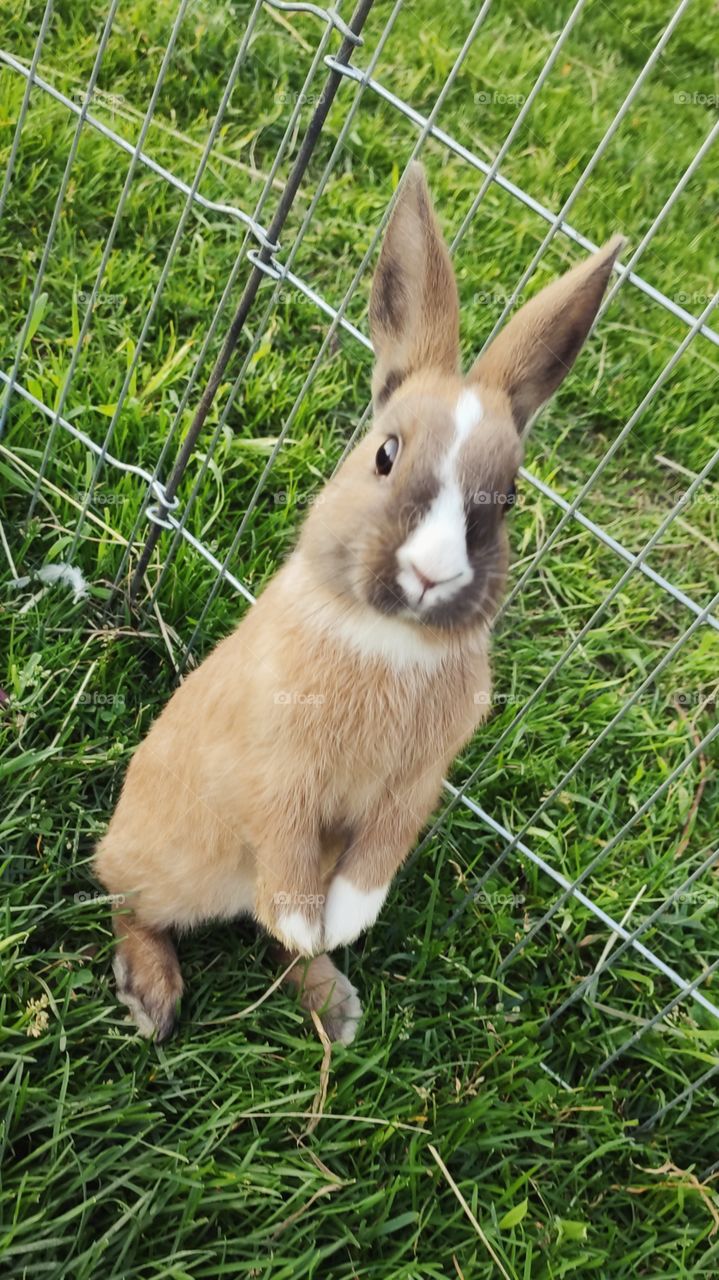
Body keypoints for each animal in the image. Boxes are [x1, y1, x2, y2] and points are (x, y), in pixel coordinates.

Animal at [94, 162, 624, 1045]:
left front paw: (341, 926)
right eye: (384, 454)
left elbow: (374, 862)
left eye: (509, 498)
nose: (431, 573)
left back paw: (330, 1002)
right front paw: (309, 921)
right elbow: (284, 866)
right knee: (129, 898)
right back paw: (152, 994)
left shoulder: (413, 789)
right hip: (163, 861)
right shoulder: (278, 775)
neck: (391, 636)